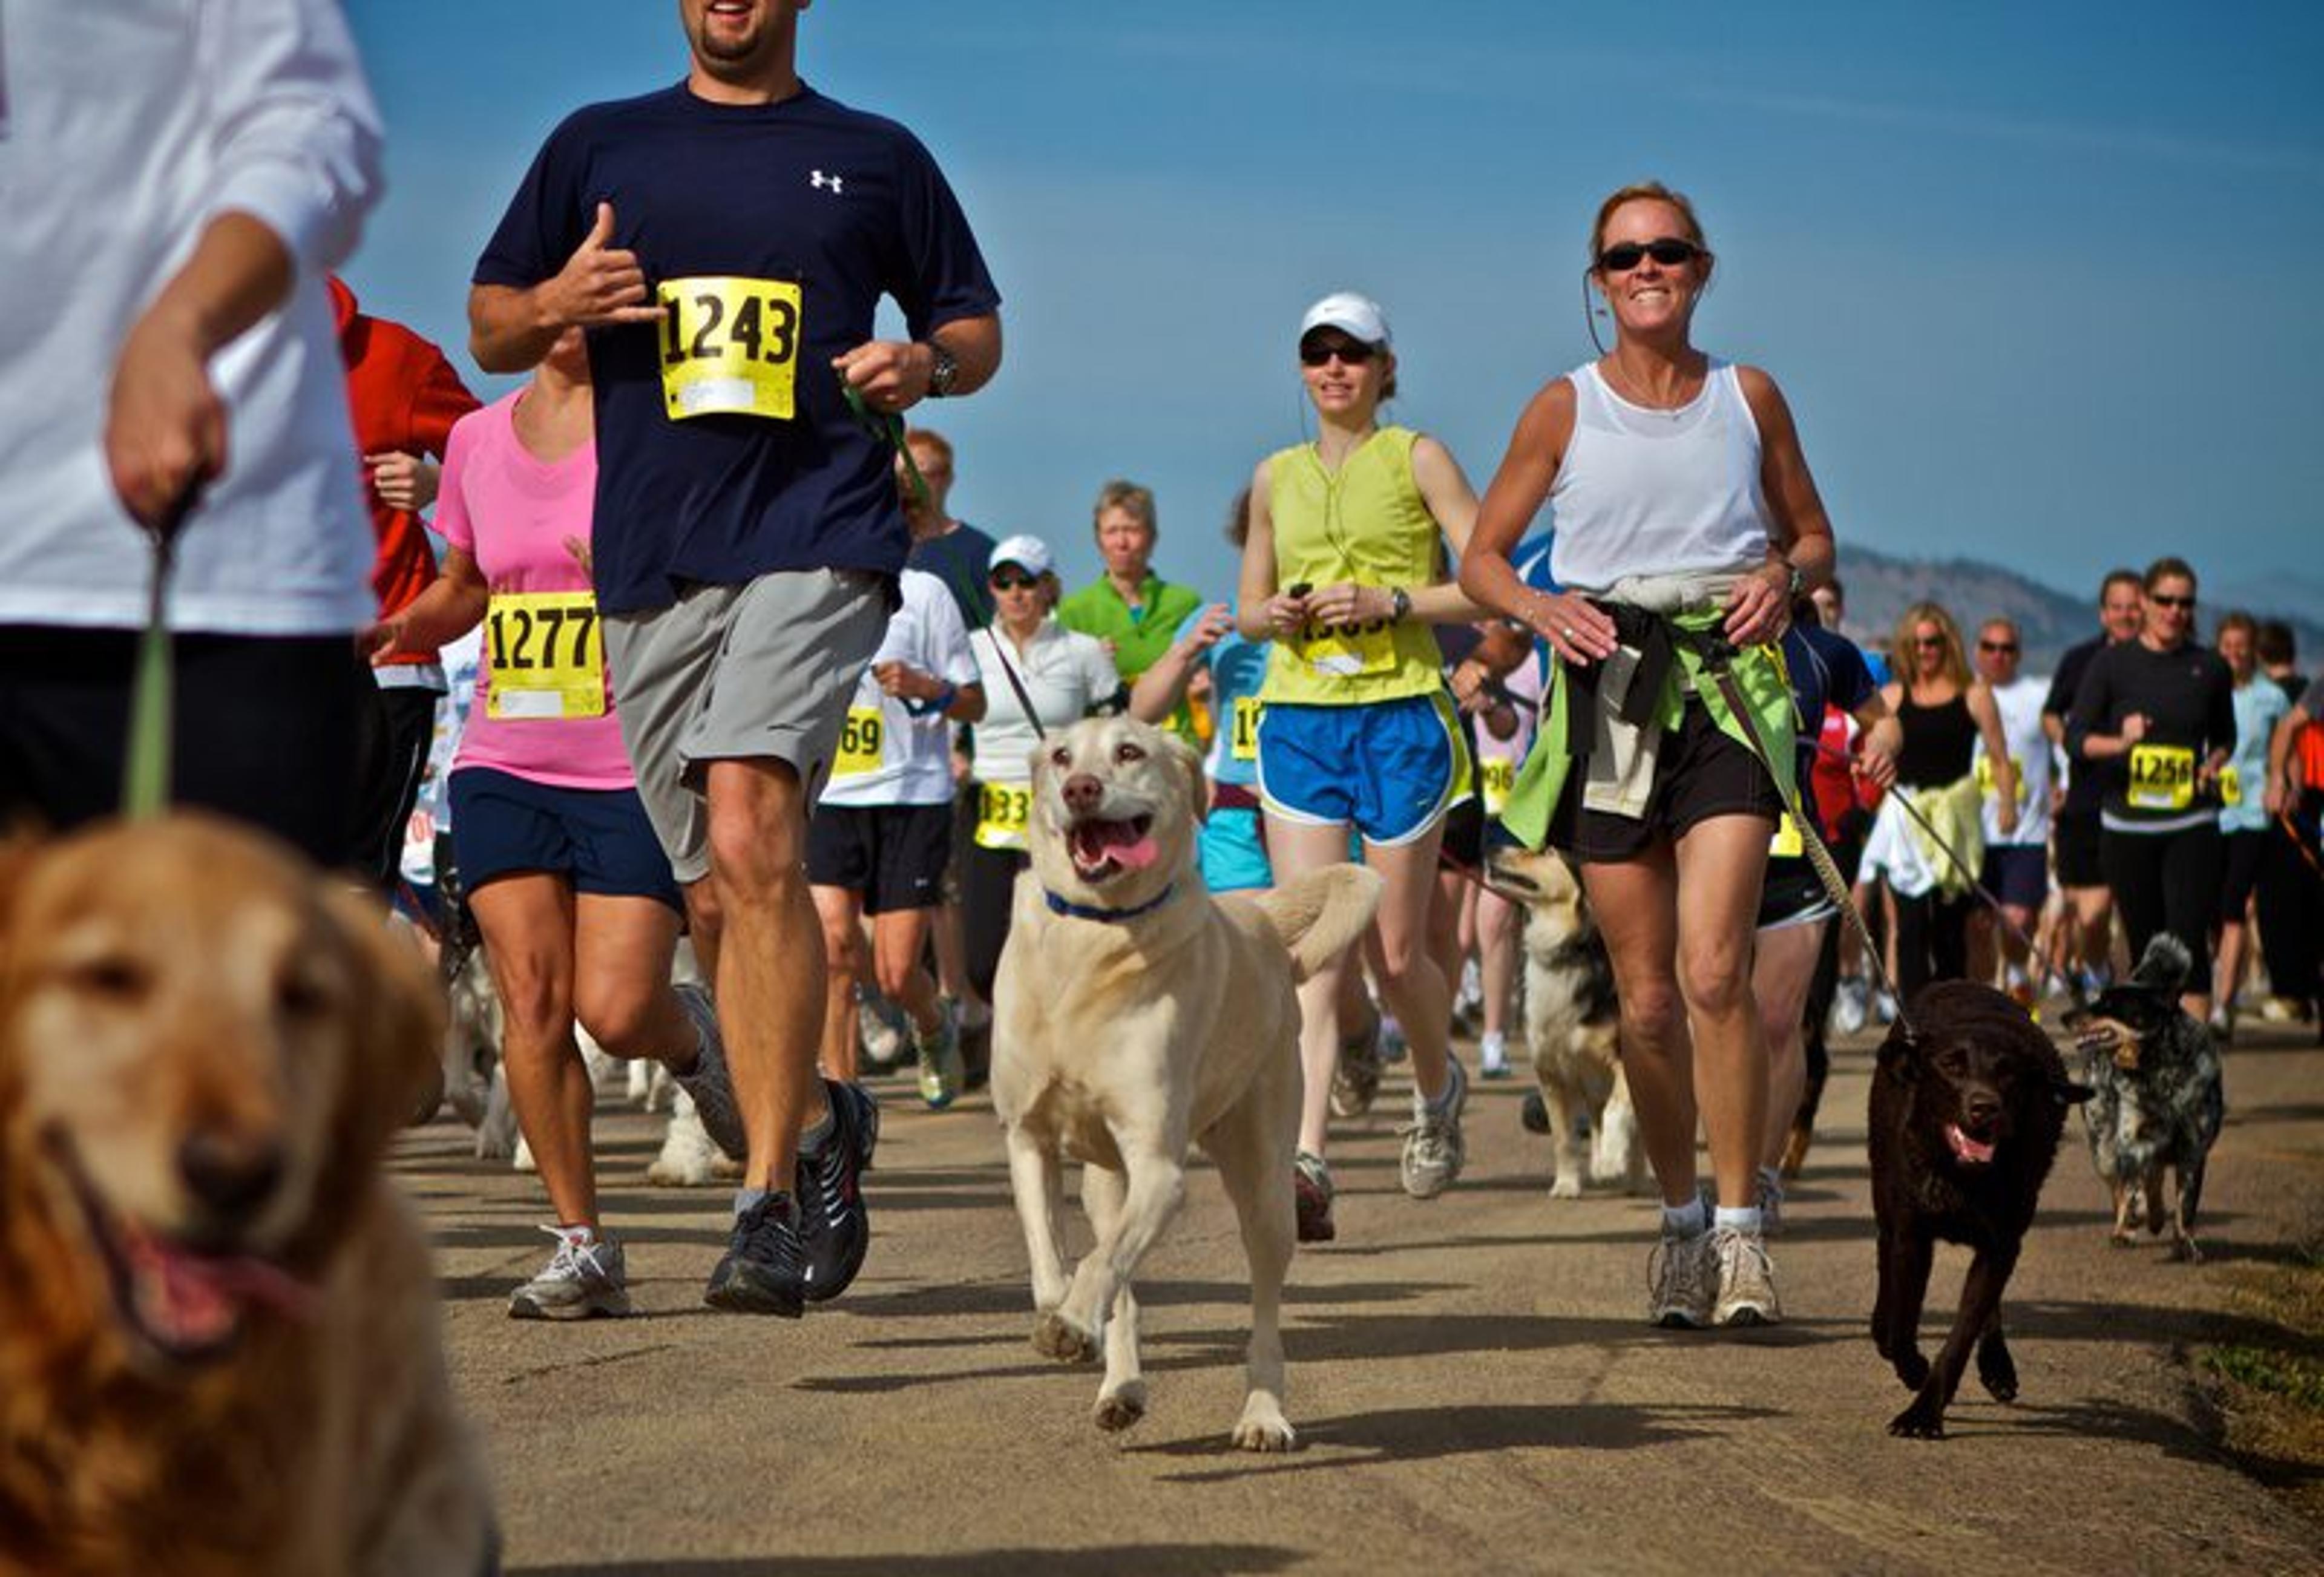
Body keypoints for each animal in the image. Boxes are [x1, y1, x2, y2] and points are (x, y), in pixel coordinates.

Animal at [985, 720, 1376, 1458]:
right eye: (1061, 757)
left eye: (1129, 752)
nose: (1082, 789)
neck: (1092, 939)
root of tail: (1258, 915)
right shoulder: (1028, 1139)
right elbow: (1054, 1258)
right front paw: (1065, 1315)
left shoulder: (1160, 1168)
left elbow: (1099, 1265)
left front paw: (1072, 1323)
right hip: (1107, 1185)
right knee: (1123, 1274)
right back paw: (1121, 1388)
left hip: (1264, 1186)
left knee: (1262, 1308)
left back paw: (1262, 1413)